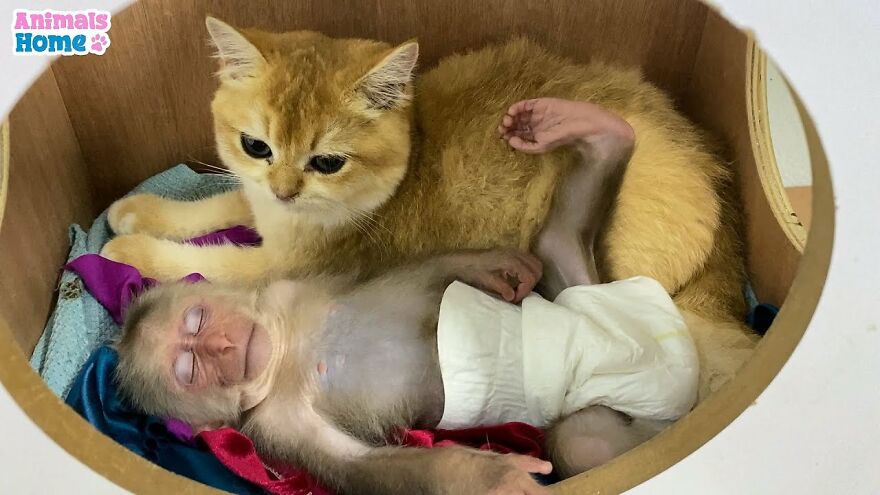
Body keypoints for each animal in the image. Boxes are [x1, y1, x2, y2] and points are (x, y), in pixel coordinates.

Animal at [112, 101, 699, 494]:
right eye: (189, 368)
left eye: (197, 320)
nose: (225, 348)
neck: (280, 349)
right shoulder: (274, 427)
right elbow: (361, 467)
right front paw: (491, 475)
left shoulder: (289, 290)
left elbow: (390, 278)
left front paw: (487, 265)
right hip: (620, 398)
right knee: (585, 441)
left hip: (592, 300)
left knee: (555, 247)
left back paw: (596, 131)